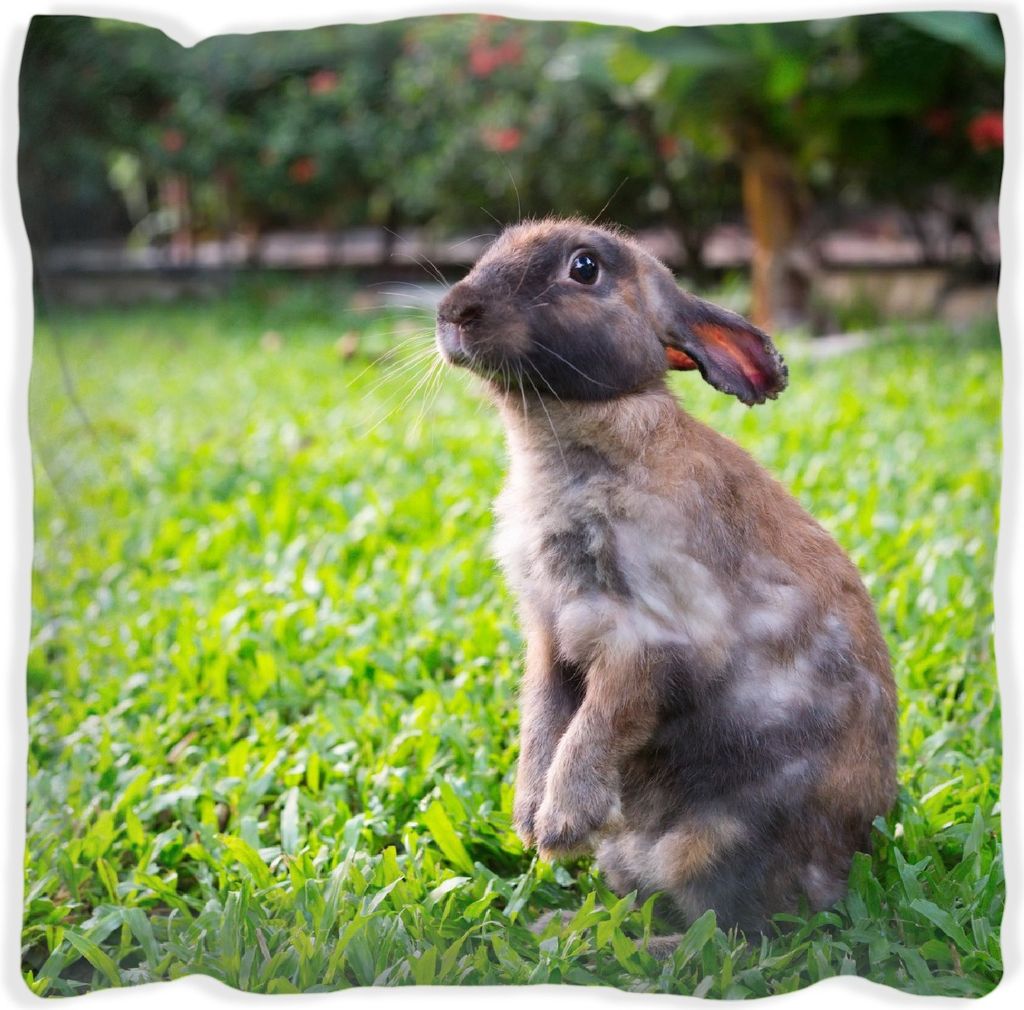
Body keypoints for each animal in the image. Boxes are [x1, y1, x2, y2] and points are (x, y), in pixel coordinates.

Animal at [434, 217, 897, 934]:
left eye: (585, 267)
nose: (453, 311)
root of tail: (843, 869)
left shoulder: (647, 639)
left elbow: (600, 721)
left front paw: (558, 826)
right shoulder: (548, 637)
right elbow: (542, 718)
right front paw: (528, 819)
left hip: (716, 844)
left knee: (731, 937)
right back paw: (563, 931)